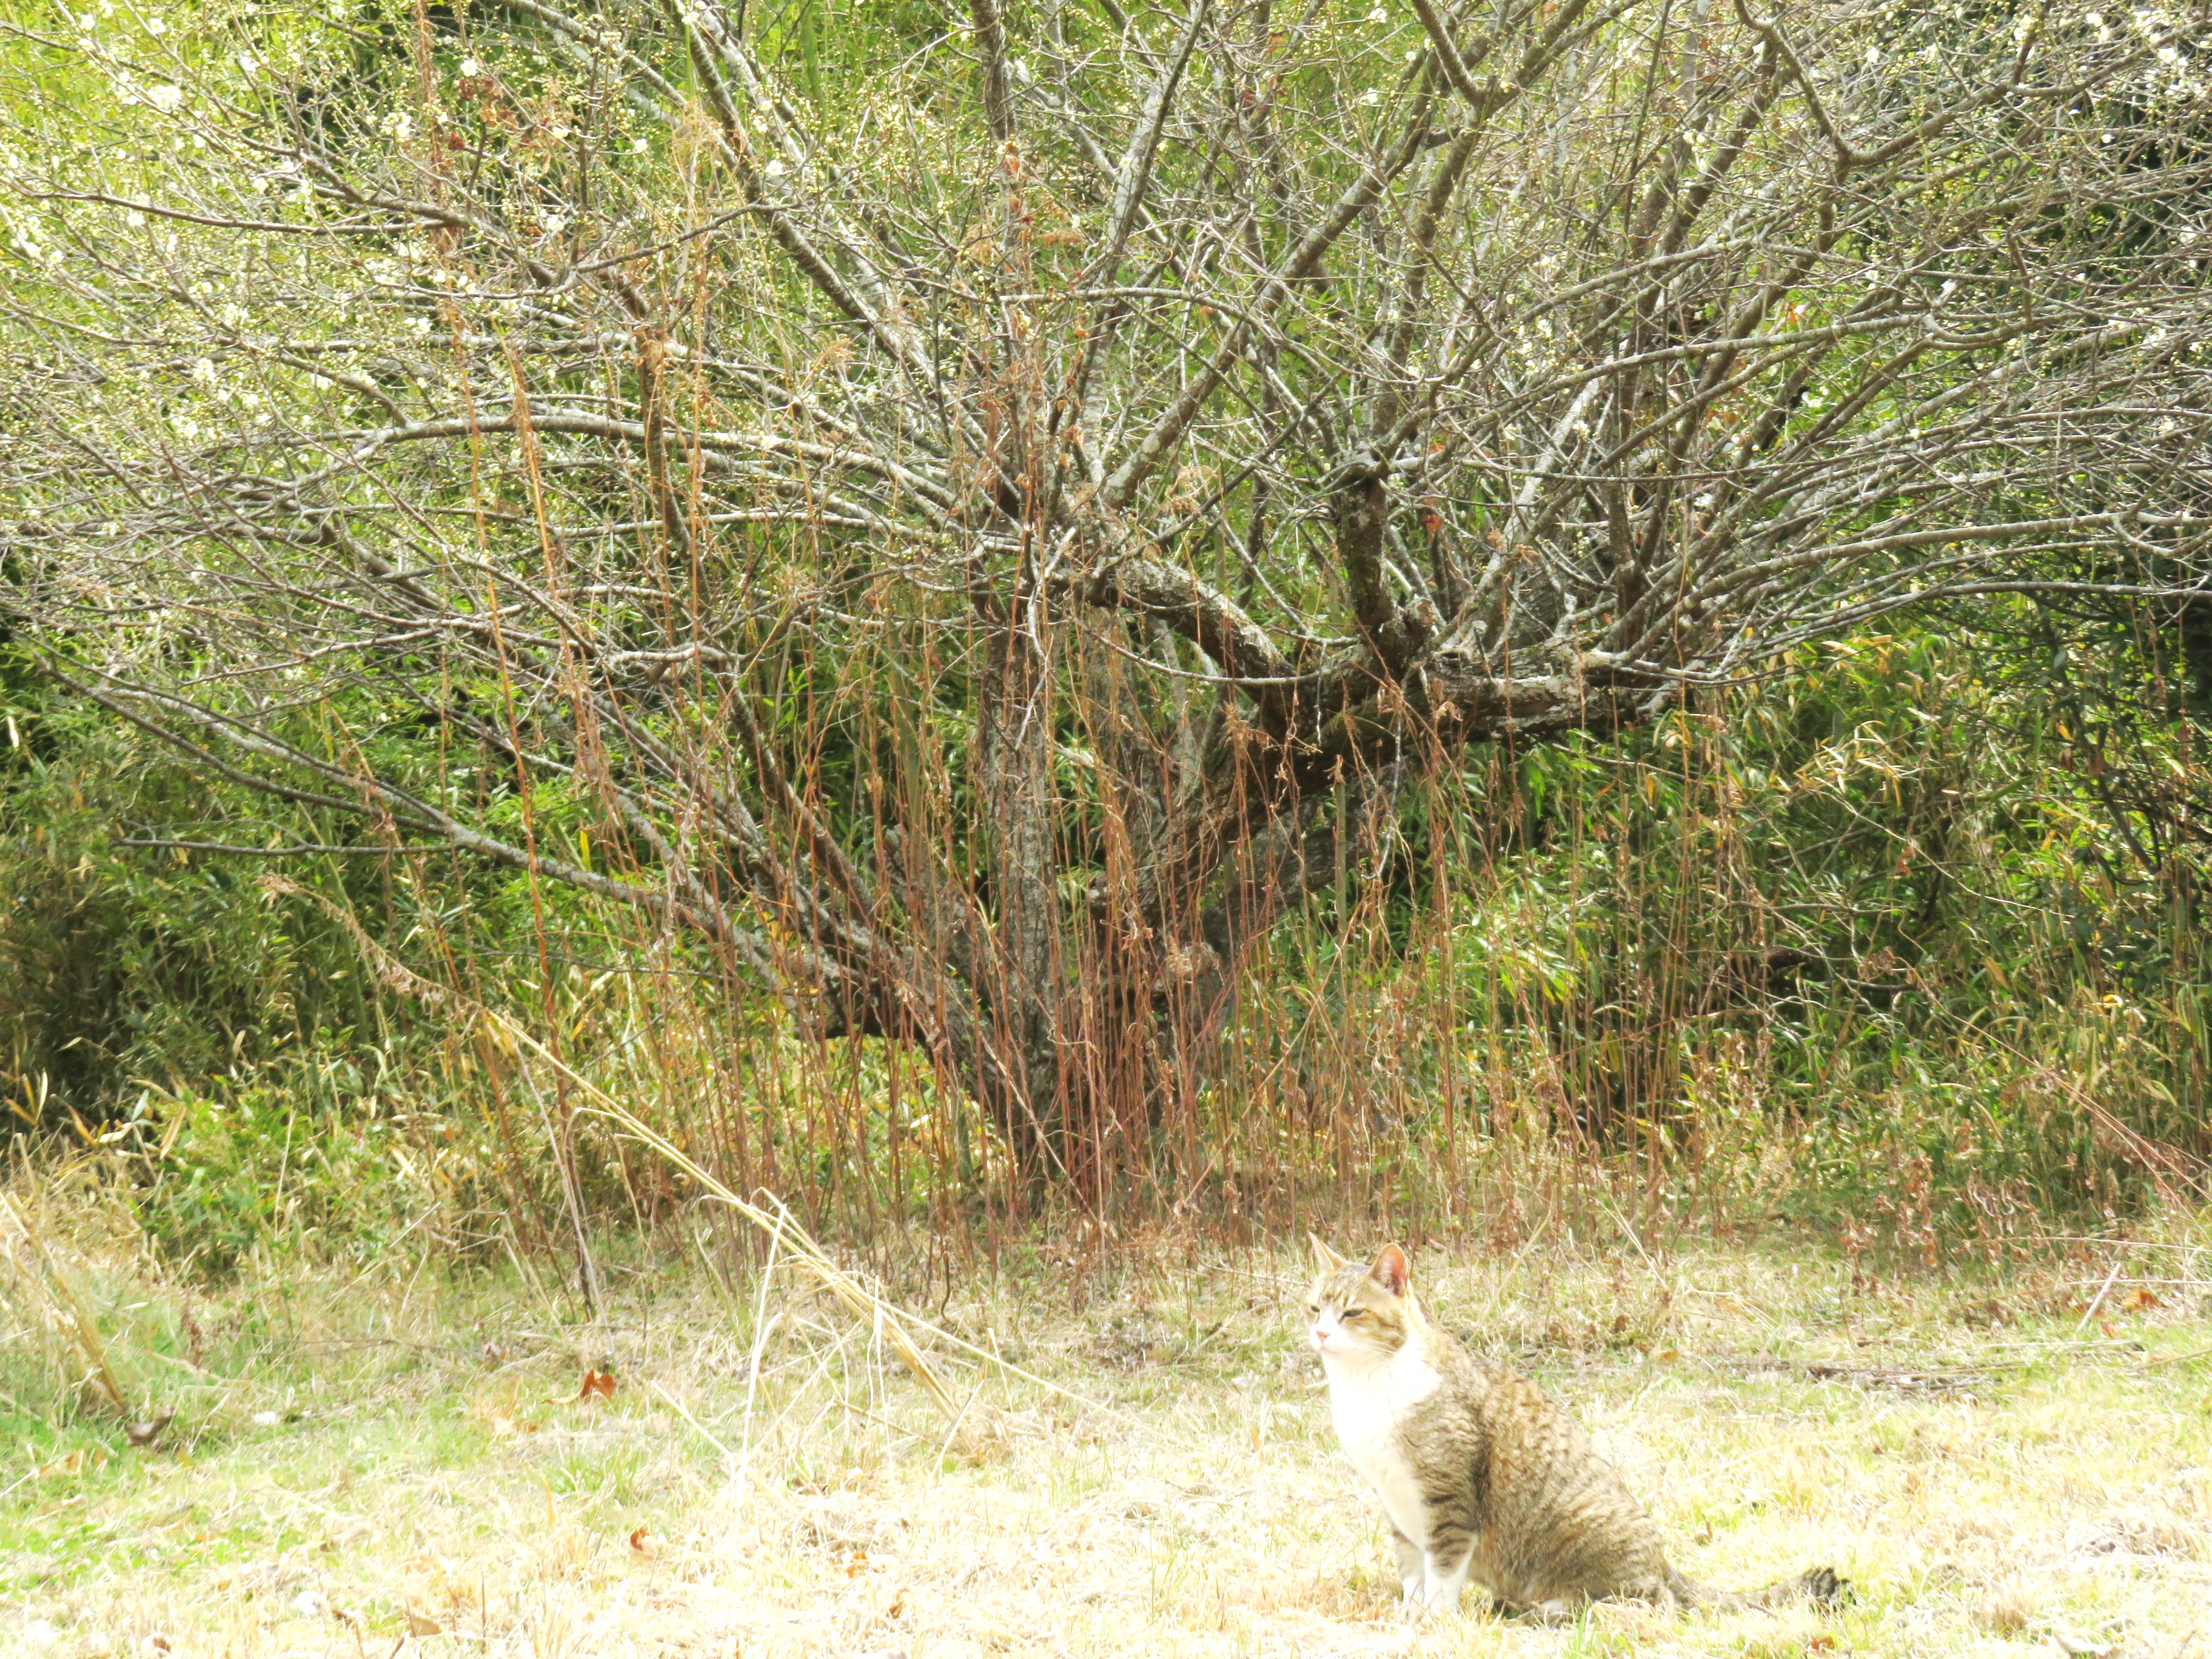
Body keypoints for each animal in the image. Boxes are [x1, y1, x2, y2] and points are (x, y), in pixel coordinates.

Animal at [1301, 1238, 1840, 1619]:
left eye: (1352, 1312)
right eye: (1314, 1308)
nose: (1321, 1332)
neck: (1367, 1385)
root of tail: (1665, 1563)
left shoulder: (1449, 1498)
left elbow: (1442, 1570)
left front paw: (1433, 1622)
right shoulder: (1394, 1498)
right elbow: (1412, 1568)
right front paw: (1410, 1617)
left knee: (1652, 1603)